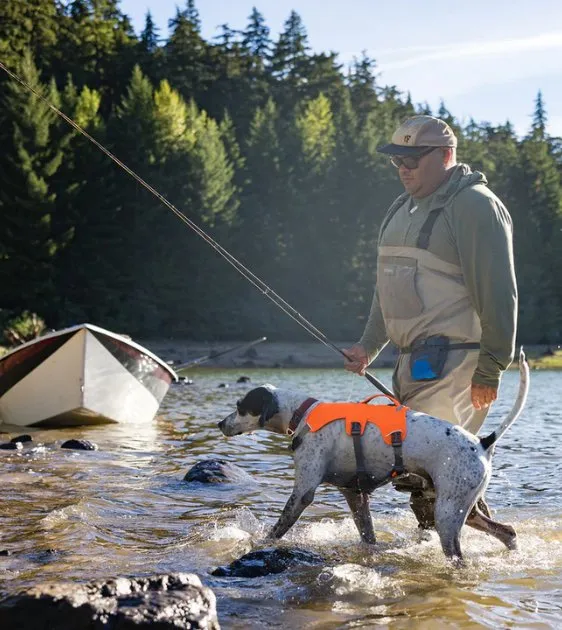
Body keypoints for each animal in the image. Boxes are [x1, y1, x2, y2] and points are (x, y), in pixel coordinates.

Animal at [217, 350, 528, 568]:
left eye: (240, 406)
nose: (220, 424)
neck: (302, 413)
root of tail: (481, 442)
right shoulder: (354, 495)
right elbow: (368, 535)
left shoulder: (303, 491)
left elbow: (278, 529)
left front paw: (258, 544)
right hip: (464, 508)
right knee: (508, 532)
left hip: (447, 515)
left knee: (460, 557)